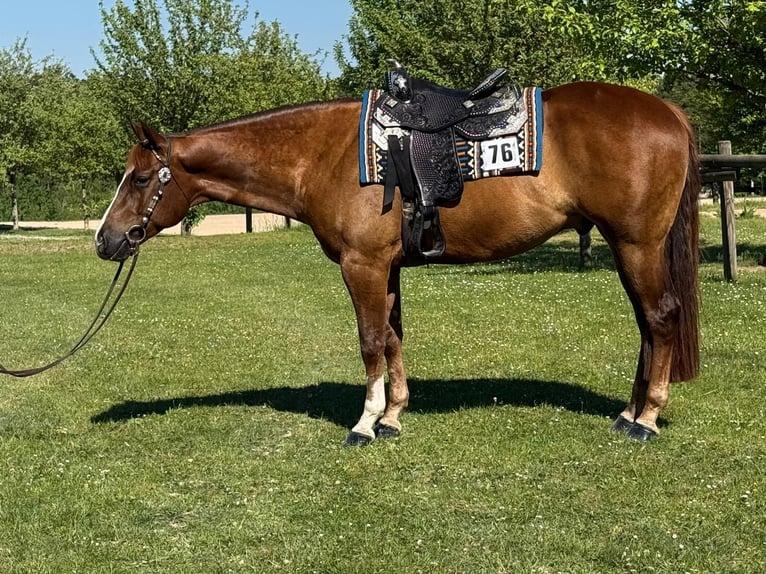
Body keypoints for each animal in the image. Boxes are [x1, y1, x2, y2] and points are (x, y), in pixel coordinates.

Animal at [95, 81, 700, 446]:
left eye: (141, 178)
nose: (105, 240)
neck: (325, 154)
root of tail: (667, 110)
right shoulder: (386, 268)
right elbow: (392, 337)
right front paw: (392, 414)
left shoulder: (361, 265)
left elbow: (369, 340)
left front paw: (365, 423)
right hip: (627, 247)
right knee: (647, 325)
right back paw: (628, 412)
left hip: (636, 244)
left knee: (661, 318)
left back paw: (647, 419)